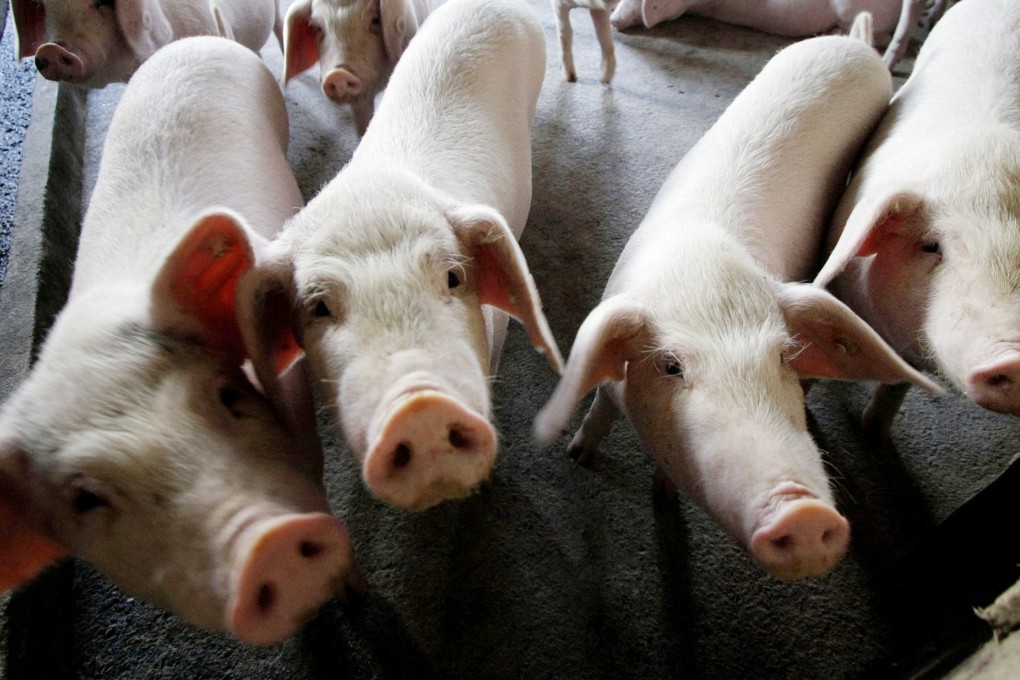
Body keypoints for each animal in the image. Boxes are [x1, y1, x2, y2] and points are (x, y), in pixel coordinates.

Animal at [534, 21, 941, 580]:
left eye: (784, 356)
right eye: (671, 366)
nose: (804, 512)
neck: (702, 270)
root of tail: (854, 44)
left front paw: (661, 494)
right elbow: (599, 407)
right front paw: (577, 456)